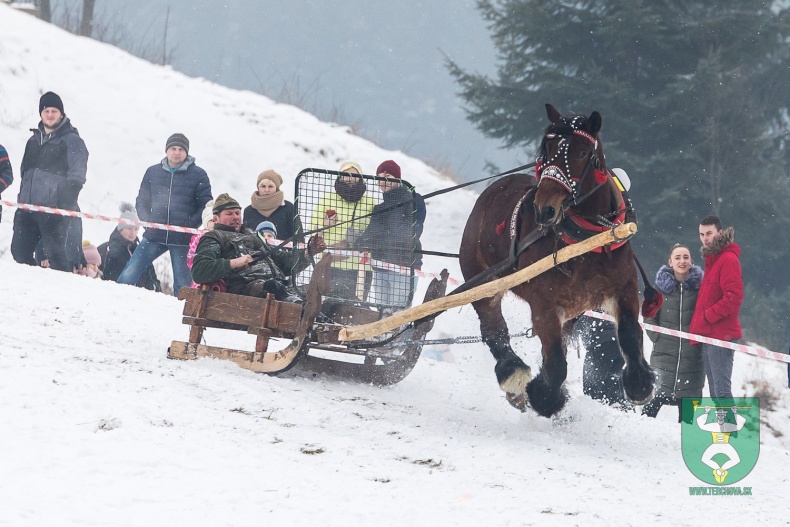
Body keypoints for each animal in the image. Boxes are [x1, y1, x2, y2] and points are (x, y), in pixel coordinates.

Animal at [458, 104, 656, 416]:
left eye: (582, 152)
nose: (545, 209)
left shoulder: (622, 290)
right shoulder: (545, 305)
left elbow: (629, 334)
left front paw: (639, 384)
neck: (586, 242)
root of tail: (491, 190)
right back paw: (514, 376)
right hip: (483, 283)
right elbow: (555, 362)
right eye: (548, 148)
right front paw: (545, 396)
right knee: (493, 329)